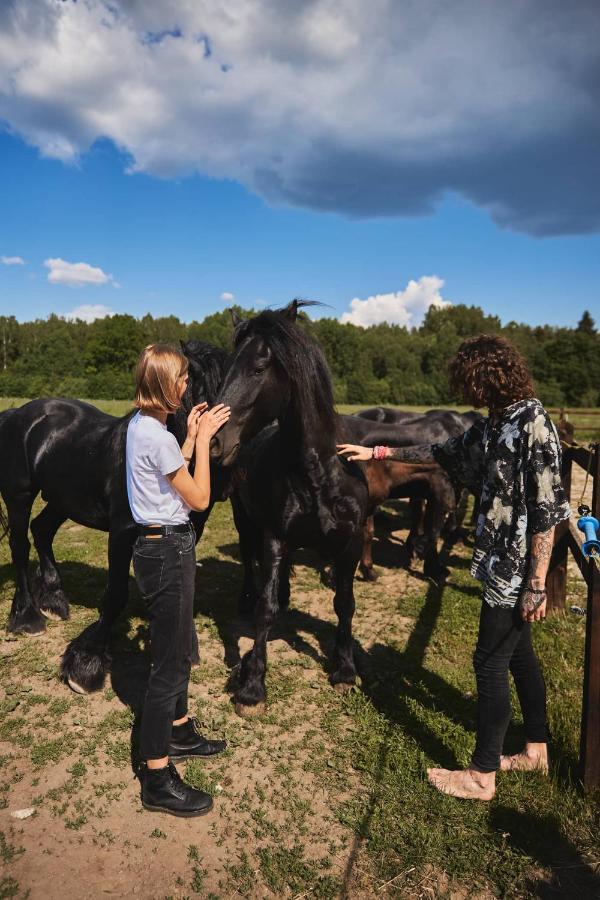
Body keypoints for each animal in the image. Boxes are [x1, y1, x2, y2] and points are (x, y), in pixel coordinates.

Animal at [0, 342, 227, 692]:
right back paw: (27, 616)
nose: (220, 452)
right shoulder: (121, 532)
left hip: (63, 499)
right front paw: (86, 664)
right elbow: (116, 593)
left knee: (42, 530)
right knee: (20, 546)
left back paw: (53, 599)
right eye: (195, 389)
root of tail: (16, 414)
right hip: (19, 495)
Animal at [211, 302, 370, 716]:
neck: (317, 474)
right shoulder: (272, 537)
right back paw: (247, 598)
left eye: (258, 367)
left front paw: (345, 669)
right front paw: (252, 686)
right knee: (249, 562)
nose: (214, 442)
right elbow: (265, 611)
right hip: (245, 522)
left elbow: (344, 603)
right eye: (228, 366)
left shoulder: (349, 545)